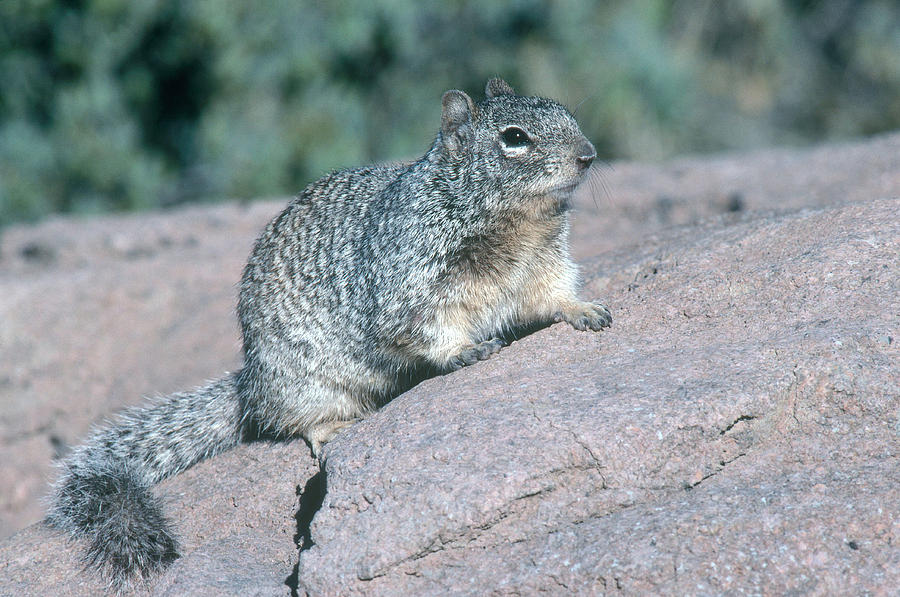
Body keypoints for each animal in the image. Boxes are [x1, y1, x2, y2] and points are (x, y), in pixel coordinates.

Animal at [47, 78, 612, 588]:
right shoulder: (411, 281)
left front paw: (586, 310)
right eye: (514, 138)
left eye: (565, 112)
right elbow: (427, 329)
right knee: (298, 423)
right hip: (309, 384)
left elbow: (554, 293)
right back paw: (337, 427)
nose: (589, 155)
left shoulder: (543, 264)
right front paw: (465, 351)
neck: (514, 225)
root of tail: (249, 382)